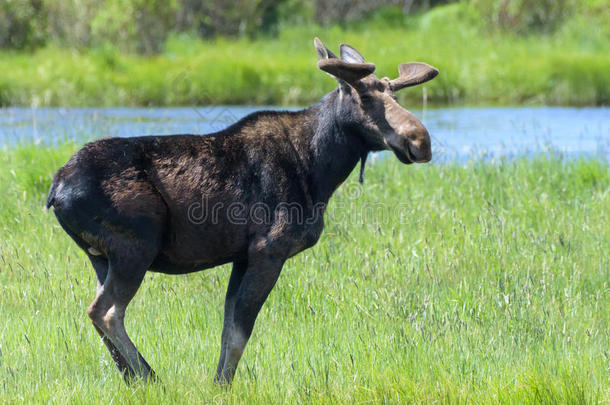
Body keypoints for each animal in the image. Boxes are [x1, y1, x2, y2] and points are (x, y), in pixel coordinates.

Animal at [46, 38, 436, 386]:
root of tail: (56, 190)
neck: (320, 169)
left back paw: (135, 380)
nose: (421, 141)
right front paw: (222, 386)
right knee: (106, 311)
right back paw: (151, 378)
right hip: (135, 247)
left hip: (101, 257)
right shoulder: (269, 250)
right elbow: (239, 334)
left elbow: (226, 329)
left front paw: (218, 384)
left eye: (396, 96)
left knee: (101, 312)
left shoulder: (241, 256)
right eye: (365, 97)